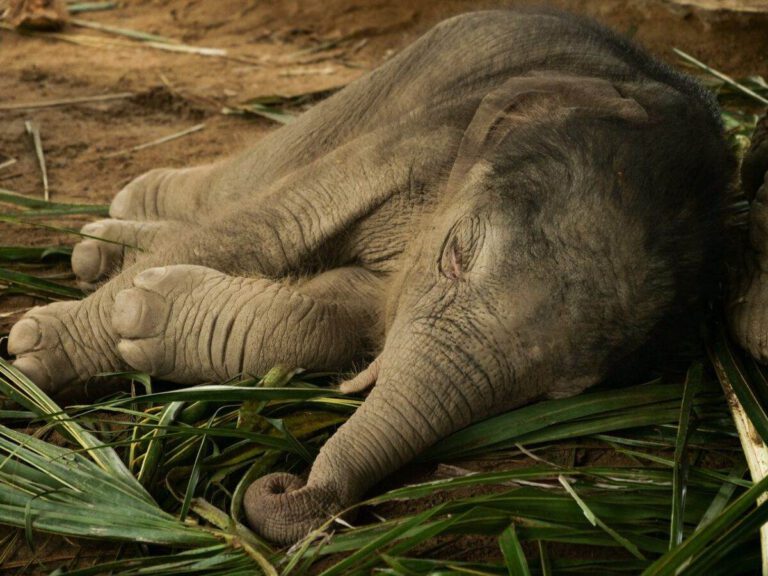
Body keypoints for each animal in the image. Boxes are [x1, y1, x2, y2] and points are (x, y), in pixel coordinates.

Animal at [7, 8, 740, 544]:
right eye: (455, 256)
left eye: (559, 392)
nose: (284, 487)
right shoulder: (429, 134)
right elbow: (268, 230)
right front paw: (37, 355)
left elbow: (336, 316)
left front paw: (143, 312)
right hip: (390, 77)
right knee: (252, 174)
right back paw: (121, 220)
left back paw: (101, 250)